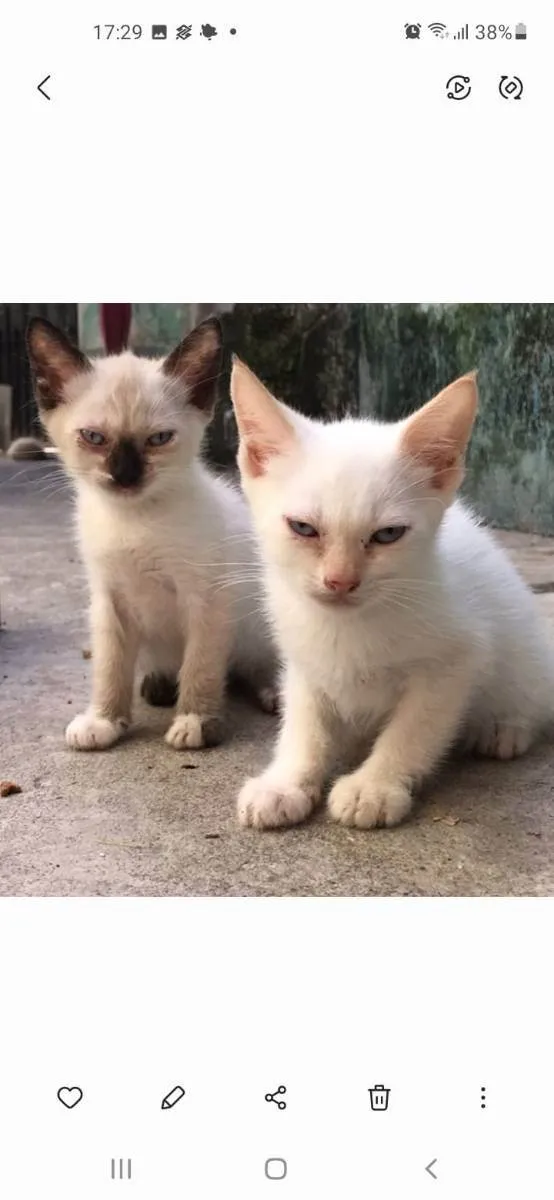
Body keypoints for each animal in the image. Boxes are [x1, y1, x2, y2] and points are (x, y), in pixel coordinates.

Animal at [26, 319, 275, 748]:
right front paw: (105, 721)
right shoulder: (109, 600)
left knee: (257, 666)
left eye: (159, 439)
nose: (125, 475)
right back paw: (158, 685)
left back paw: (271, 693)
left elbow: (201, 667)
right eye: (94, 437)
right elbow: (110, 668)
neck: (133, 519)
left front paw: (195, 721)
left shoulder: (206, 600)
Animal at [229, 360, 554, 830]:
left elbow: (413, 728)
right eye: (303, 528)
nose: (340, 581)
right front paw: (287, 781)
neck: (347, 627)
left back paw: (503, 729)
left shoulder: (456, 661)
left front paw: (374, 786)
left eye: (387, 535)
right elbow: (304, 721)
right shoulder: (303, 658)